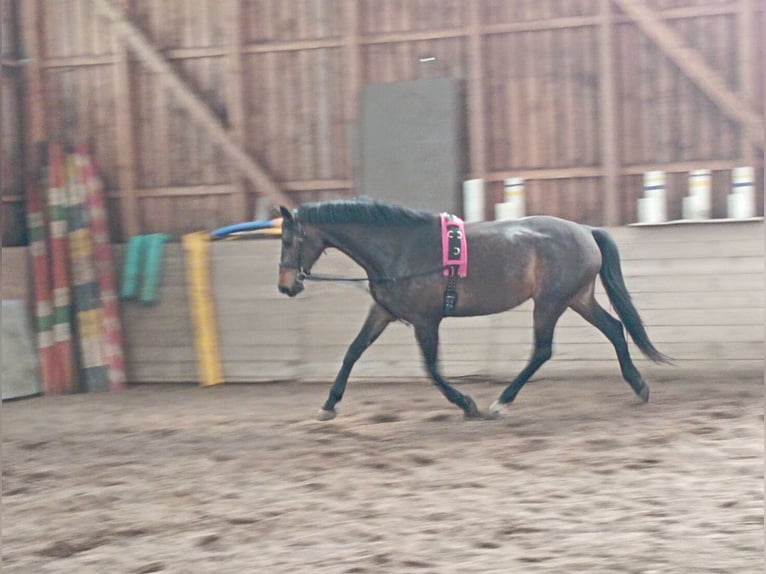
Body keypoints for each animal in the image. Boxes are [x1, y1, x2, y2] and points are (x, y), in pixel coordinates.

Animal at [280, 200, 668, 420]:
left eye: (288, 240)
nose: (286, 286)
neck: (400, 248)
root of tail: (586, 230)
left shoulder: (426, 321)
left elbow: (432, 369)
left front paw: (466, 403)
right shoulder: (383, 312)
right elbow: (353, 352)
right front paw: (329, 404)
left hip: (550, 303)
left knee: (543, 350)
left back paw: (501, 402)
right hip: (578, 298)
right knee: (615, 328)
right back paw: (639, 387)